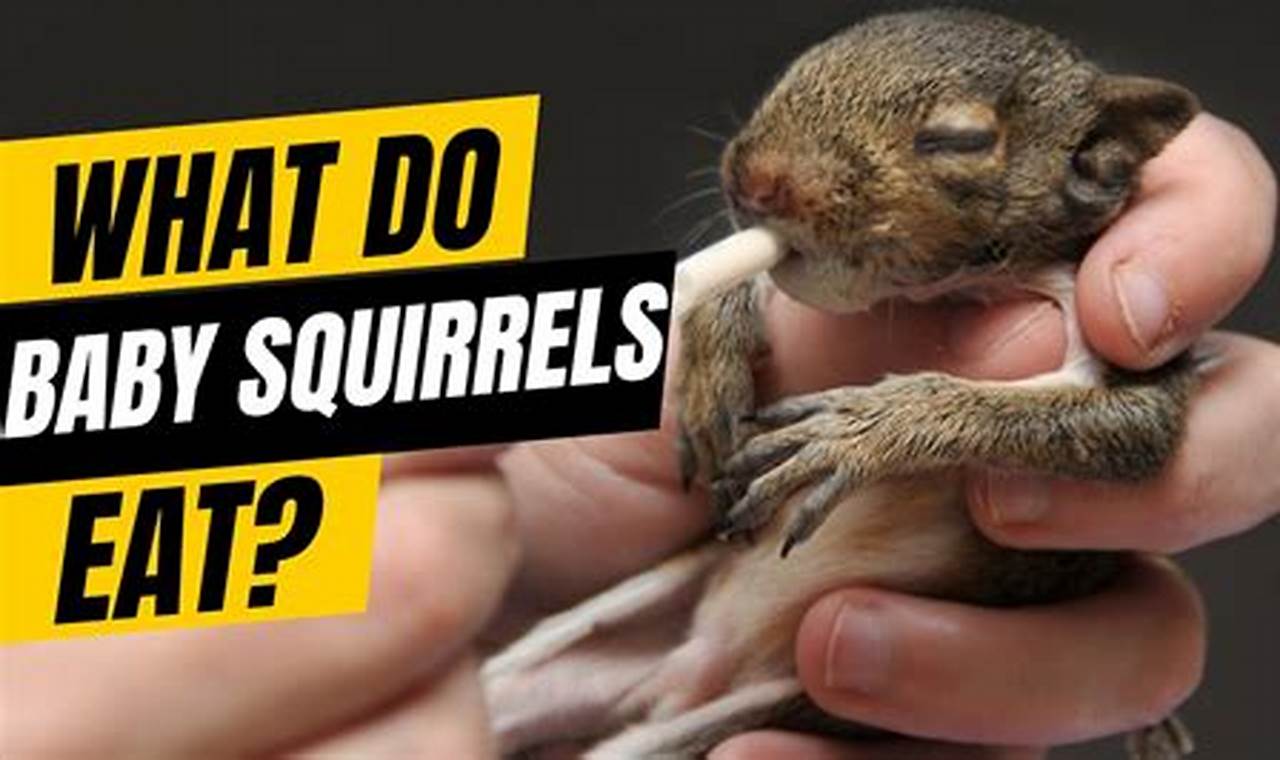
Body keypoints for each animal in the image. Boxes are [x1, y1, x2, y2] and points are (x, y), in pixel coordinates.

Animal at [485, 9, 1202, 759]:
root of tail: (690, 670)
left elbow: (1097, 424)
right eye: (793, 73)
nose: (752, 183)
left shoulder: (1130, 358)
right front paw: (711, 363)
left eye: (962, 140)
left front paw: (857, 432)